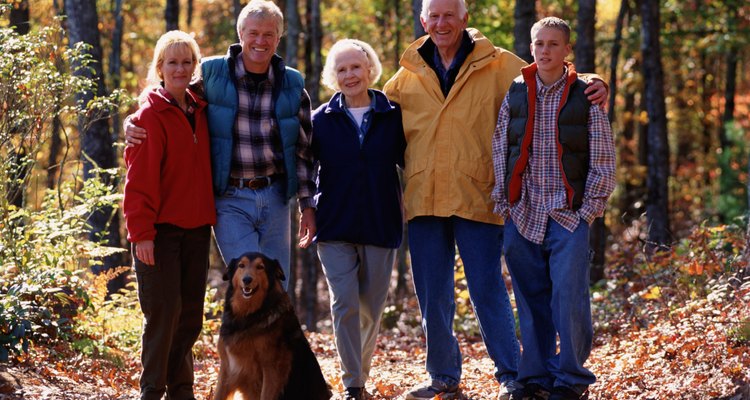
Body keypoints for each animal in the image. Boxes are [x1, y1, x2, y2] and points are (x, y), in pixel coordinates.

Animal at [216, 253, 334, 400]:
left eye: (260, 267)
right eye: (241, 265)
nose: (247, 279)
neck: (249, 315)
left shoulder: (272, 369)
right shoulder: (227, 367)